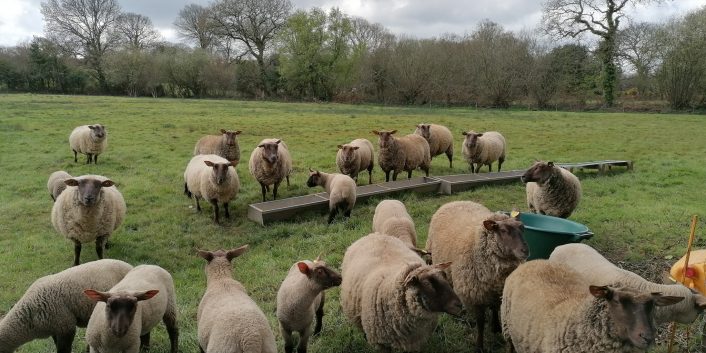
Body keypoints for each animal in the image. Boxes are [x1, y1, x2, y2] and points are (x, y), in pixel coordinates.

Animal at [424, 199, 528, 350]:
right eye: (503, 230)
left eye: (522, 228)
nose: (525, 250)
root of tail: (456, 201)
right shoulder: (475, 296)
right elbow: (480, 323)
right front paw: (479, 345)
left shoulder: (497, 290)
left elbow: (495, 308)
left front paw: (496, 327)